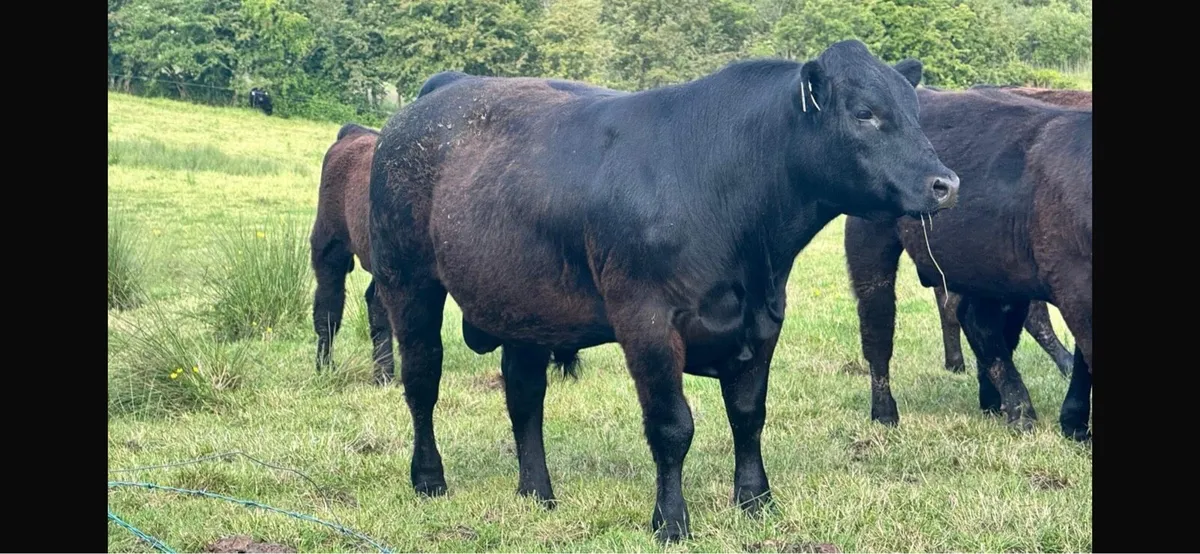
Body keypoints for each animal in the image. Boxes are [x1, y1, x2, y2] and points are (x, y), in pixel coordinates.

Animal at [368, 40, 959, 542]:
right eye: (864, 113)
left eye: (916, 112)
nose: (945, 183)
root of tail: (443, 90)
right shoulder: (647, 322)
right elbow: (672, 427)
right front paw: (671, 522)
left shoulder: (764, 321)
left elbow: (749, 415)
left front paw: (756, 501)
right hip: (408, 283)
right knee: (422, 383)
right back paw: (429, 479)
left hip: (525, 305)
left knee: (524, 396)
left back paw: (537, 491)